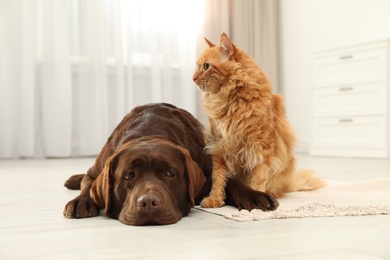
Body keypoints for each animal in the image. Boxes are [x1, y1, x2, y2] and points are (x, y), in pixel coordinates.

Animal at [193, 34, 326, 209]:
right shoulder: (219, 147)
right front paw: (214, 199)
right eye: (197, 67)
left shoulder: (261, 148)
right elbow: (218, 177)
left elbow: (258, 177)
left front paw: (258, 197)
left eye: (206, 66)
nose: (193, 78)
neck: (230, 102)